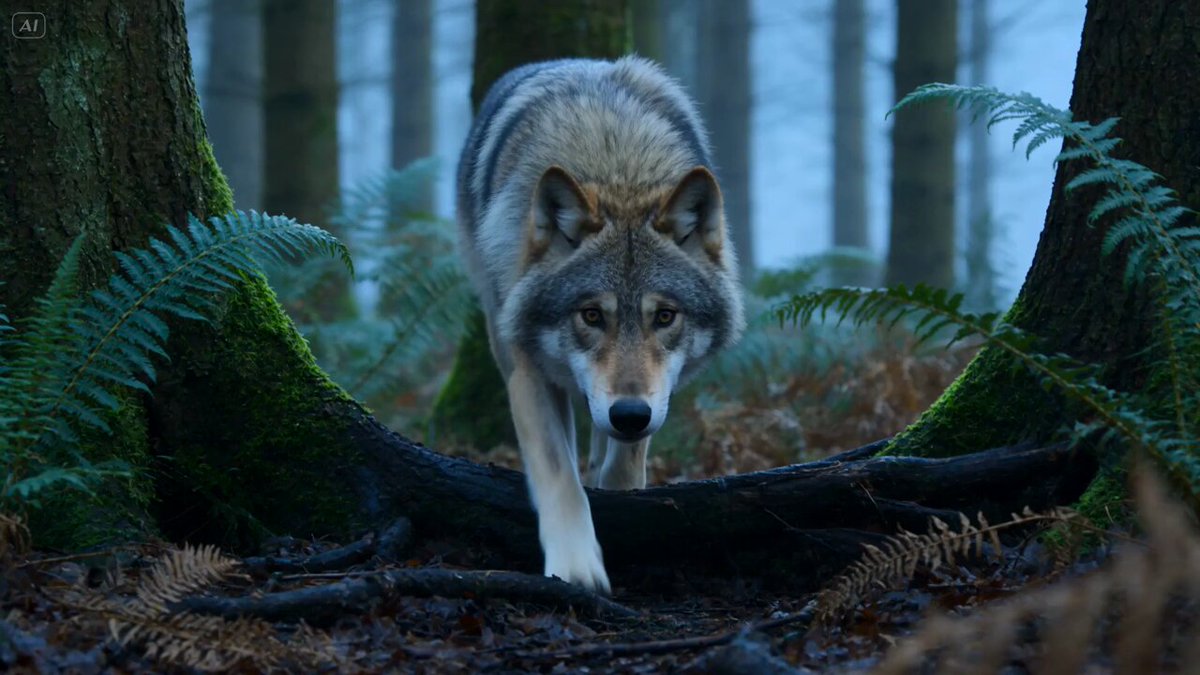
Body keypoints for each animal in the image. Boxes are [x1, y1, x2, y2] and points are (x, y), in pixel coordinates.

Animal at [456, 56, 745, 593]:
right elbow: (557, 473)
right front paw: (575, 566)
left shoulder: (653, 395)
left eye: (665, 316)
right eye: (591, 315)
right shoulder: (526, 368)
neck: (616, 169)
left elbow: (625, 463)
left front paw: (619, 496)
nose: (628, 414)